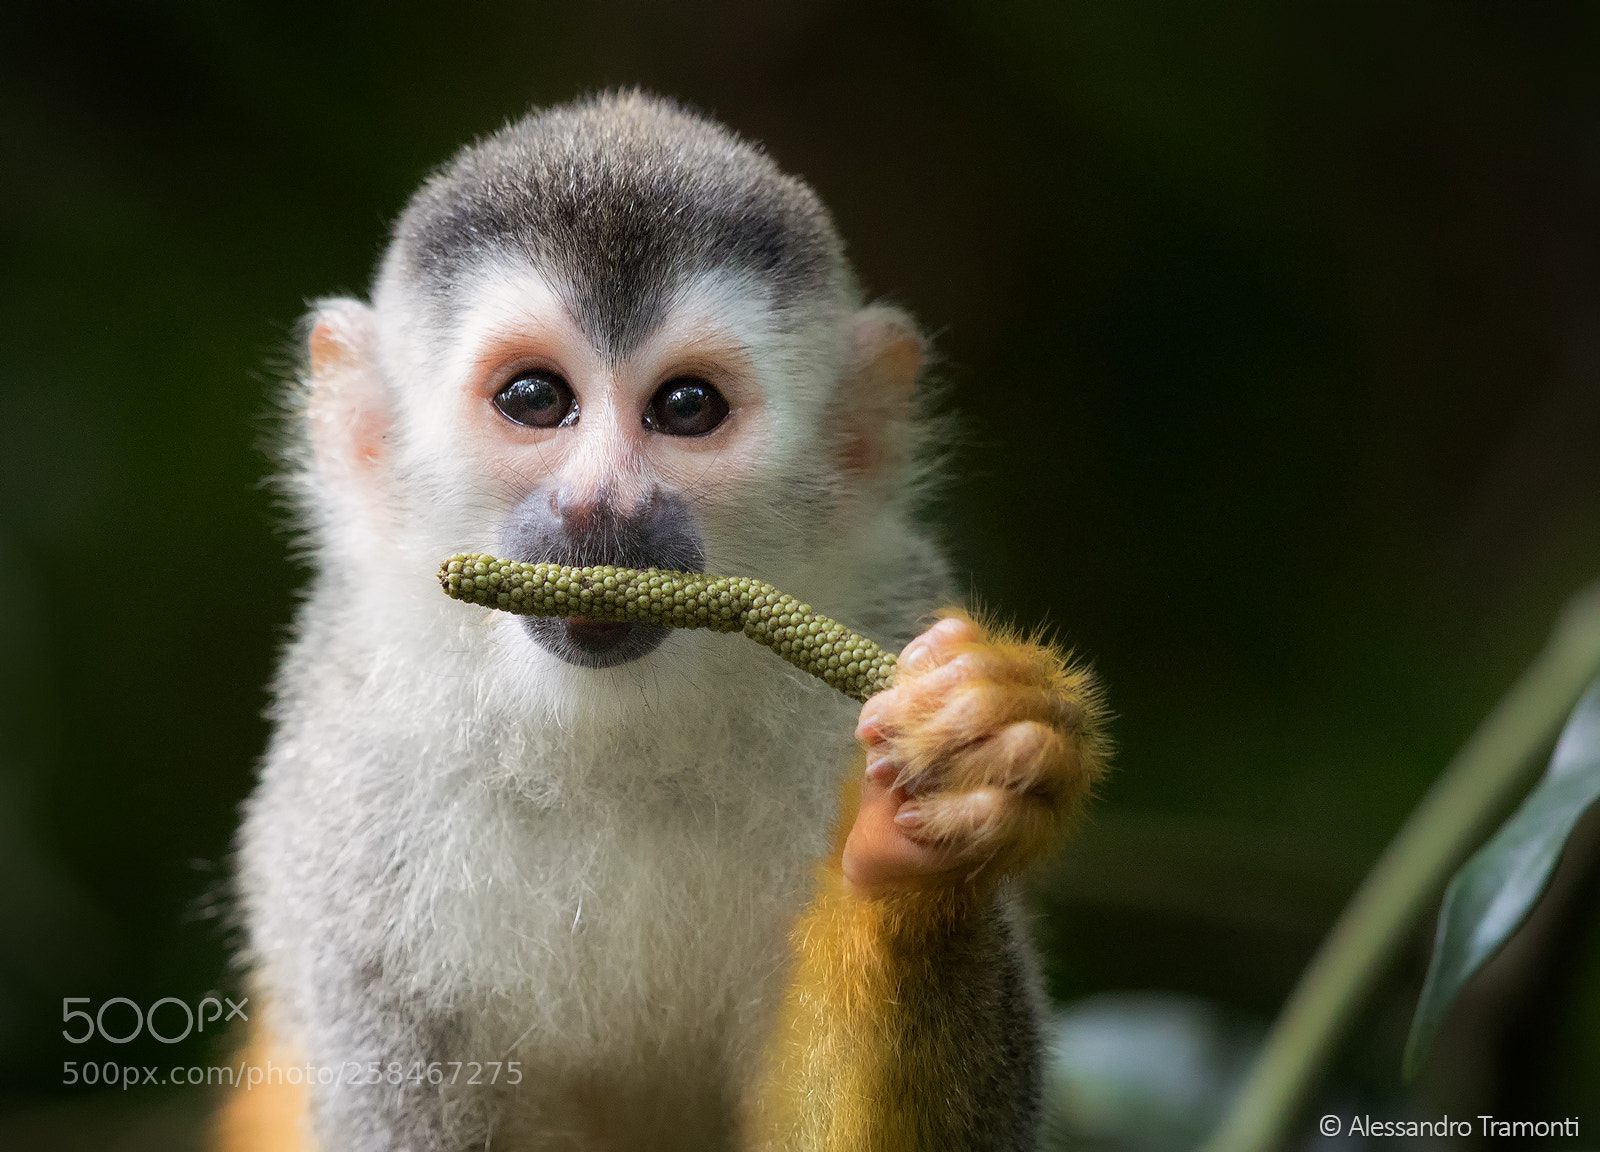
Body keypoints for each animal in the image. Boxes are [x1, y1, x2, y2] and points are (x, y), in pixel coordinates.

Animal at [220, 91, 1107, 1152]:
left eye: (687, 406)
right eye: (534, 398)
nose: (604, 507)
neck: (614, 736)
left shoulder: (888, 605)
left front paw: (919, 846)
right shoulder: (348, 781)